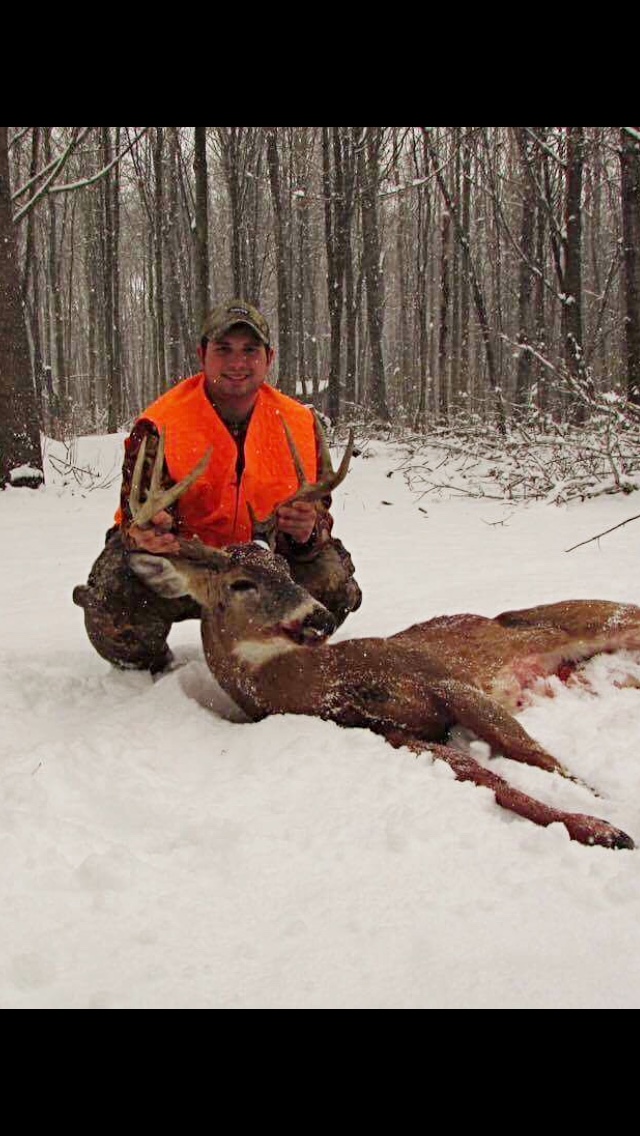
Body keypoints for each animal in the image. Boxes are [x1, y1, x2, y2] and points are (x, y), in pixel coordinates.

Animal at [125, 421, 640, 852]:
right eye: (241, 584)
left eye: (287, 569)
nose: (320, 617)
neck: (328, 683)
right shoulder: (392, 732)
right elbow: (485, 776)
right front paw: (600, 829)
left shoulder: (442, 678)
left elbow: (537, 755)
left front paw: (606, 809)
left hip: (603, 617)